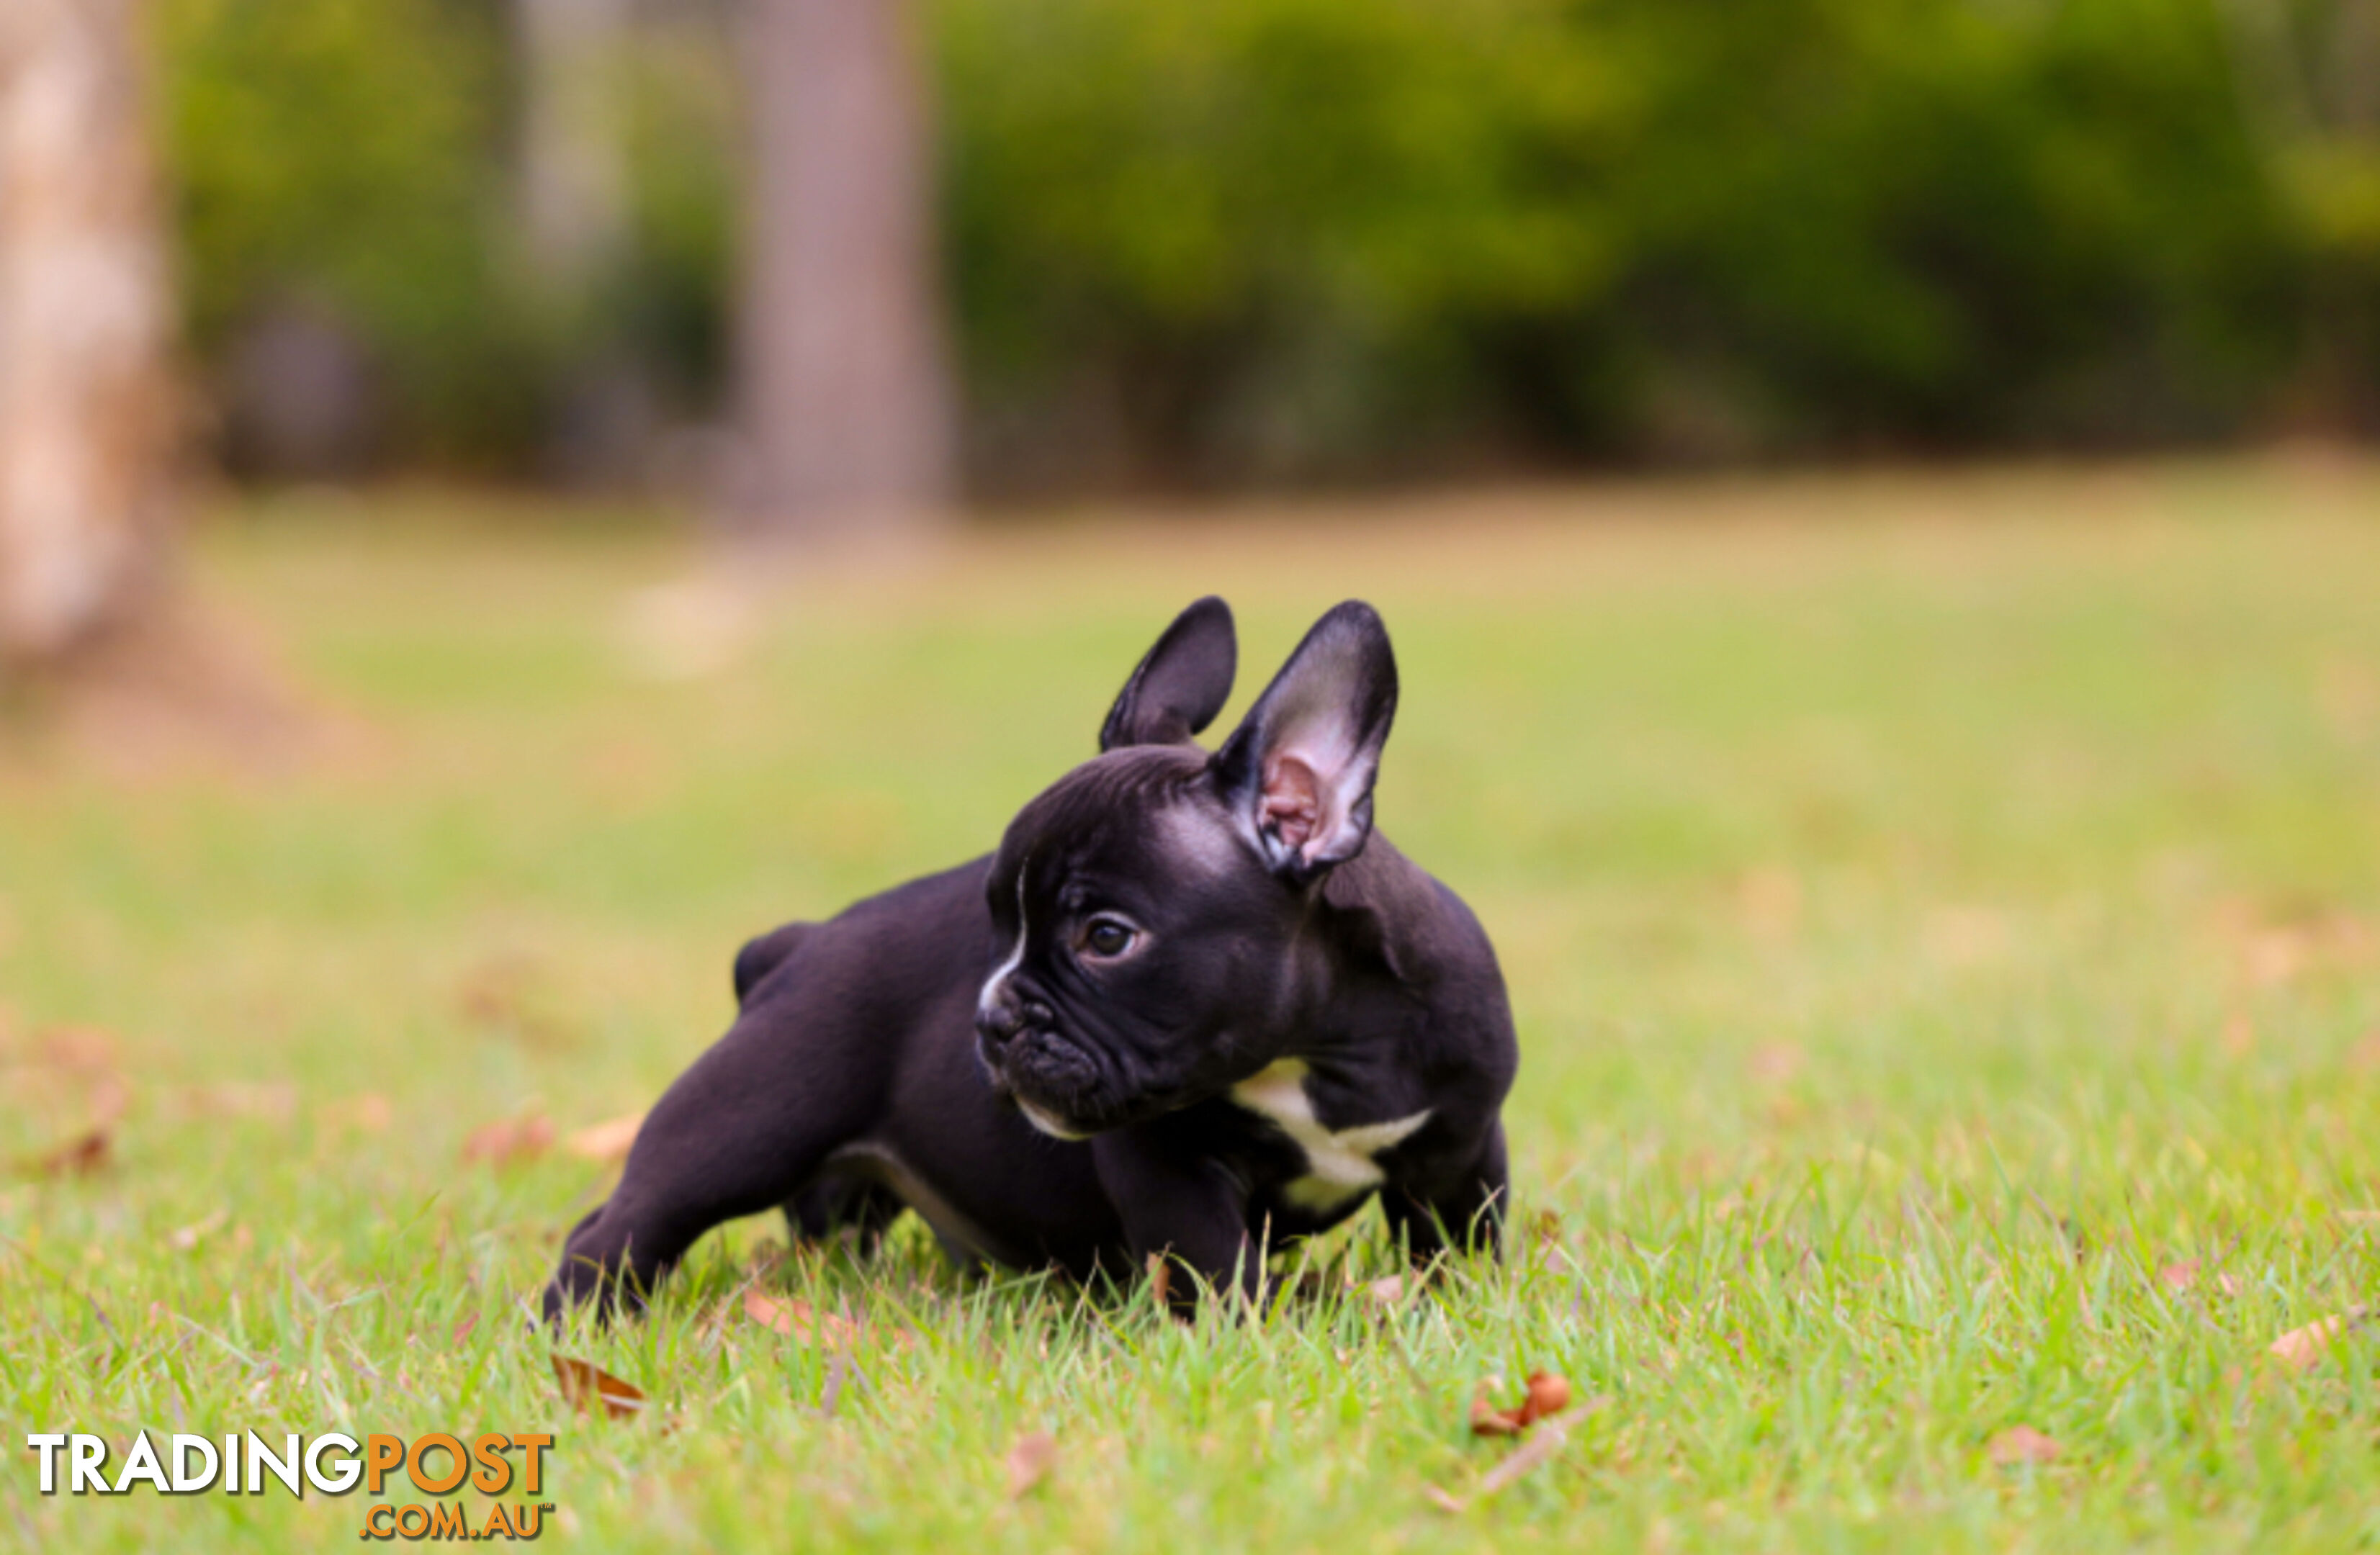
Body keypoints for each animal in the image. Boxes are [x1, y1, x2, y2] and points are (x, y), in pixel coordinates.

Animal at [544, 594, 1513, 1312]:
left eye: (1106, 939)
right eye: (993, 928)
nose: (992, 1017)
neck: (1315, 1048)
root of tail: (796, 945)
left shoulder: (1459, 1145)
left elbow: (1460, 1241)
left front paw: (1463, 1305)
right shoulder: (1168, 1170)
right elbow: (1215, 1267)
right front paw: (1260, 1331)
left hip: (837, 1181)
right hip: (741, 1123)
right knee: (623, 1226)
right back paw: (582, 1323)